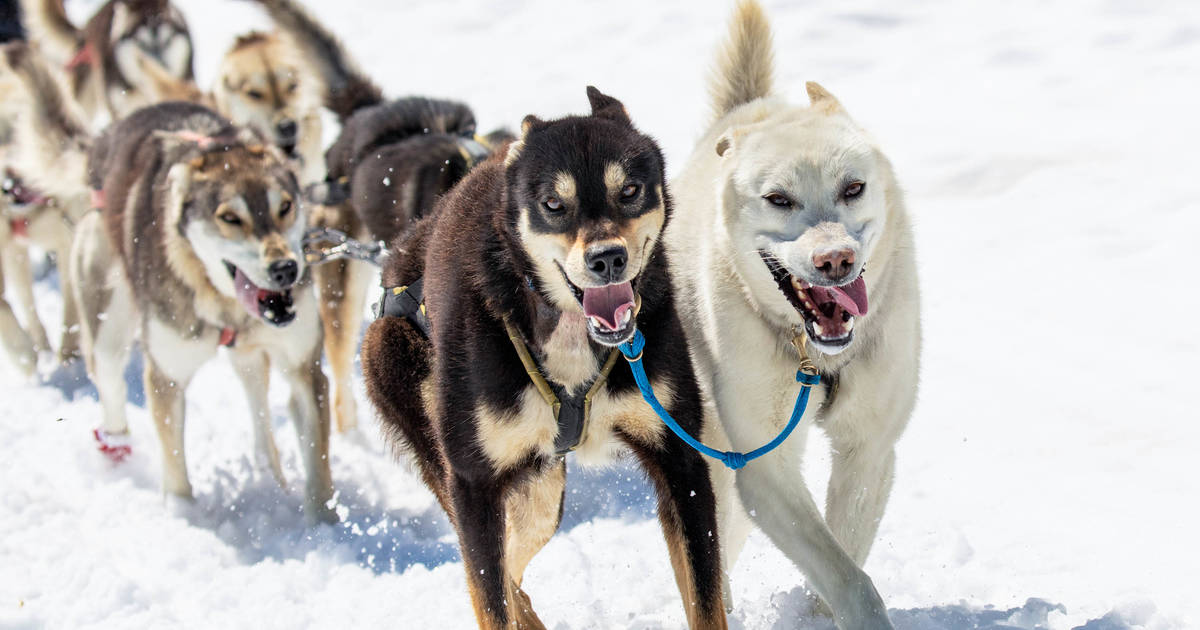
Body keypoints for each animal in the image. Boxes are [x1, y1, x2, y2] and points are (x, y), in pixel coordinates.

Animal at [360, 88, 724, 628]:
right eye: (554, 204)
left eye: (630, 190)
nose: (607, 258)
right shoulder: (474, 484)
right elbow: (492, 598)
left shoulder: (680, 460)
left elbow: (706, 598)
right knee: (504, 579)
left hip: (540, 499)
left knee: (517, 567)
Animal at [667, 2, 916, 624]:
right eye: (779, 199)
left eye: (853, 187)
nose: (836, 259)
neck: (815, 359)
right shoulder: (763, 466)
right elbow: (847, 577)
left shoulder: (867, 452)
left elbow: (843, 559)